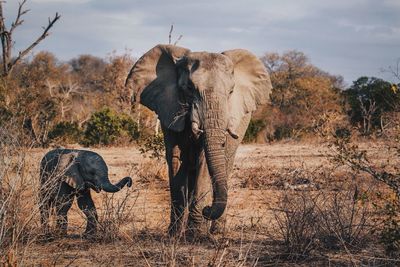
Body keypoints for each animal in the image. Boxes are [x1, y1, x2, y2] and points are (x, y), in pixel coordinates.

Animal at [126, 45, 272, 237]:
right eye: (189, 88)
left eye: (231, 92)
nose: (207, 210)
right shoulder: (169, 109)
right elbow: (176, 158)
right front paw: (174, 235)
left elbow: (203, 161)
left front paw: (195, 235)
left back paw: (217, 232)